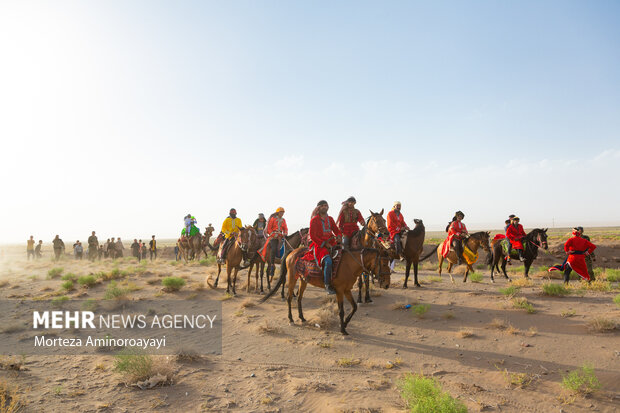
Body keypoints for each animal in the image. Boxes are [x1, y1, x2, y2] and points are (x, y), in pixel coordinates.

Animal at [262, 245, 392, 334]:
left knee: (299, 298)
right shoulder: (339, 291)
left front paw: (345, 324)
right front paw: (343, 329)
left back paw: (302, 317)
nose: (386, 284)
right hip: (292, 278)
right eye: (384, 264)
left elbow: (354, 307)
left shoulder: (347, 290)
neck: (349, 264)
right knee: (289, 298)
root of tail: (292, 252)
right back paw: (291, 319)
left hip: (303, 280)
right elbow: (341, 311)